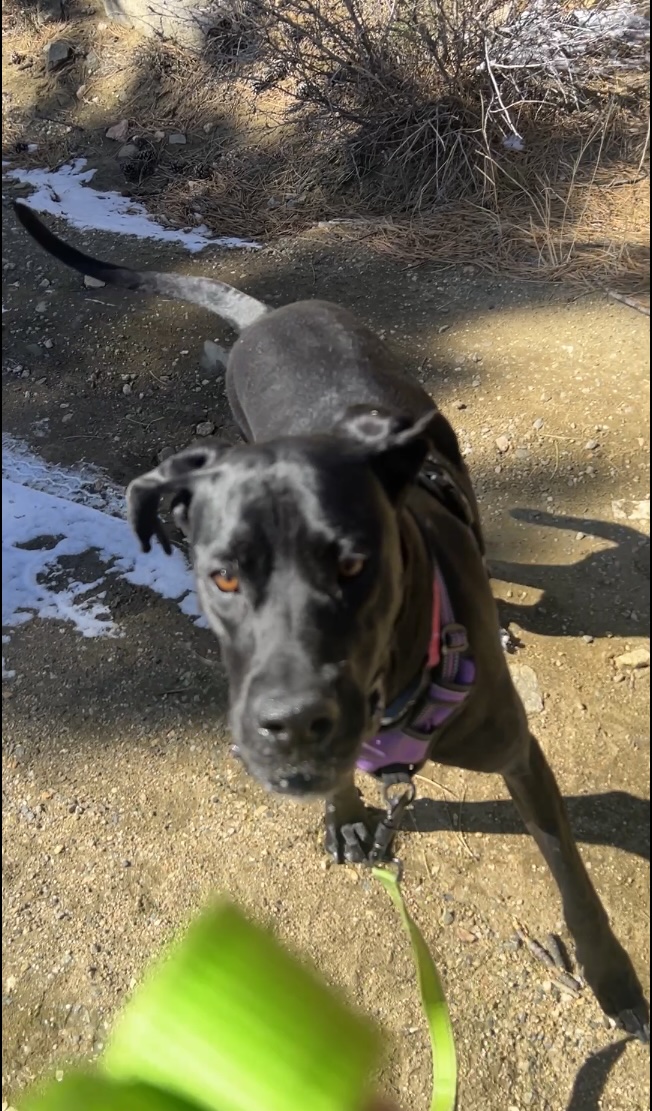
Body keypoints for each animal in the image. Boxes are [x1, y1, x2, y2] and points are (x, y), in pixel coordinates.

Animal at [14, 201, 649, 1041]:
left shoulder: (522, 757)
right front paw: (347, 813)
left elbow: (574, 880)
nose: (290, 726)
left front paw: (613, 978)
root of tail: (268, 314)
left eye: (354, 564)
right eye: (223, 574)